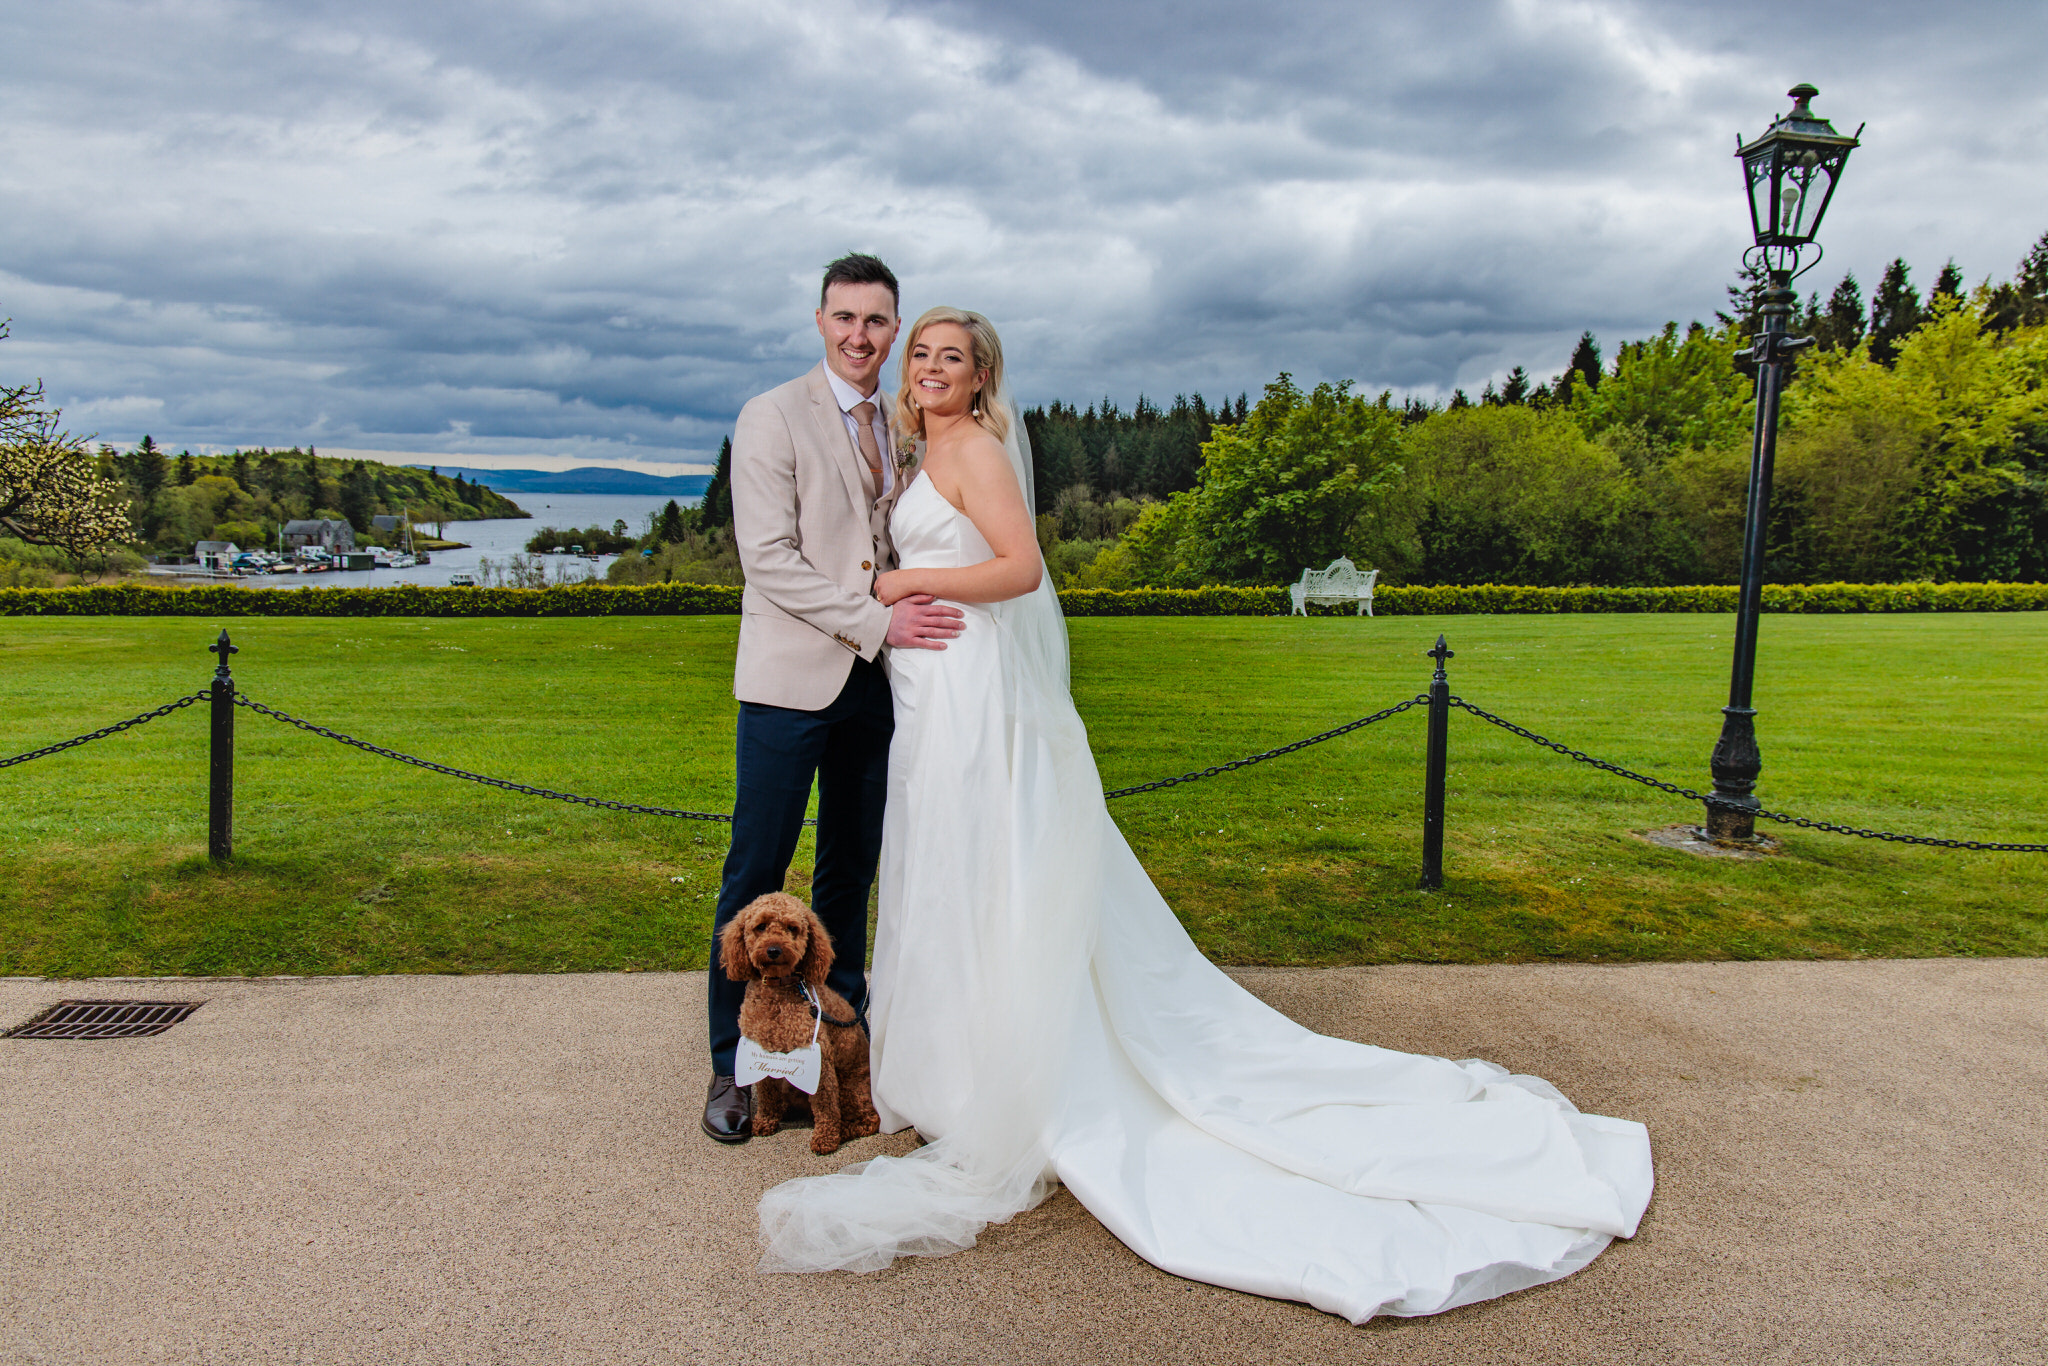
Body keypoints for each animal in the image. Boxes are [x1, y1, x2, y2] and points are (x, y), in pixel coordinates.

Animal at [720, 897, 880, 1155]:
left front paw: (825, 1138)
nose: (774, 950)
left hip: (851, 1089)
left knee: (868, 1120)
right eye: (761, 927)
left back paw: (842, 1131)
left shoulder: (820, 1062)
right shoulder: (762, 1055)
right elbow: (766, 1093)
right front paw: (765, 1120)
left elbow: (825, 1105)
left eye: (792, 928)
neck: (778, 992)